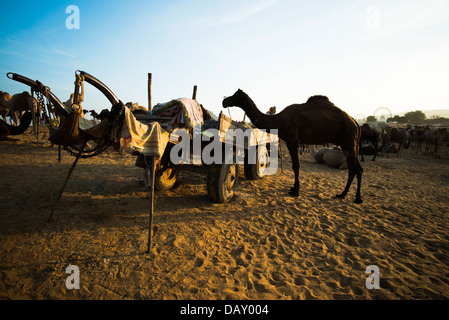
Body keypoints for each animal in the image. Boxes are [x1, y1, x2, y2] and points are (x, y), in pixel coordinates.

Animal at [222, 88, 362, 202]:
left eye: (235, 95)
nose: (224, 101)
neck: (279, 120)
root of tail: (355, 122)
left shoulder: (292, 141)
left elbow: (296, 166)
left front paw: (295, 191)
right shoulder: (293, 142)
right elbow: (296, 166)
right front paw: (293, 188)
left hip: (348, 142)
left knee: (356, 168)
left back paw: (357, 198)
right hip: (347, 144)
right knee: (354, 168)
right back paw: (342, 194)